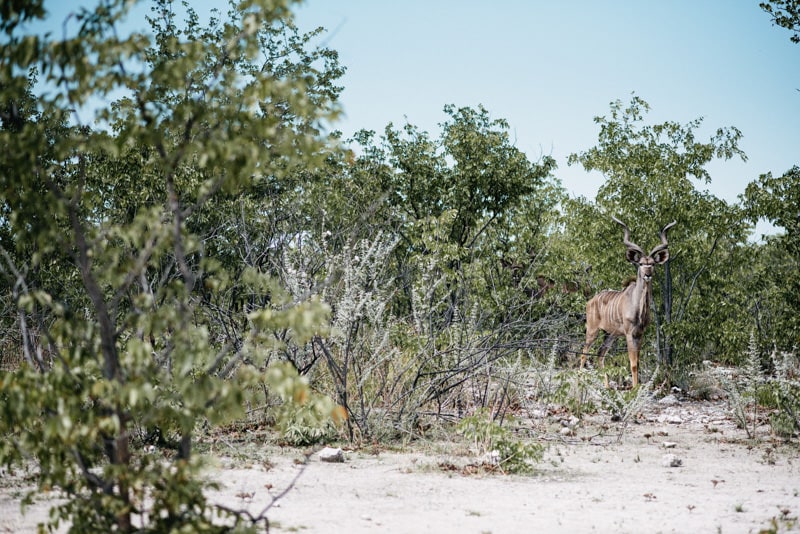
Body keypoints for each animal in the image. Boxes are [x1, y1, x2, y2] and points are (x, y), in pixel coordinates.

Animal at [580, 218, 676, 390]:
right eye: (641, 264)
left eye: (652, 263)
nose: (647, 274)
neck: (638, 309)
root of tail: (590, 301)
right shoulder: (629, 333)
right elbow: (633, 363)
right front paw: (635, 388)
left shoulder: (640, 333)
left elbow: (637, 361)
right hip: (592, 330)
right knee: (584, 353)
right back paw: (578, 381)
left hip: (610, 334)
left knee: (600, 353)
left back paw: (607, 387)